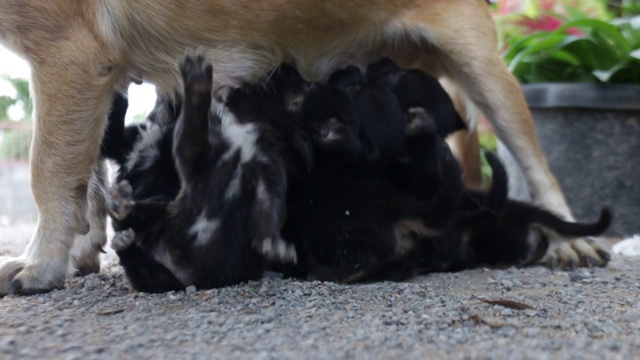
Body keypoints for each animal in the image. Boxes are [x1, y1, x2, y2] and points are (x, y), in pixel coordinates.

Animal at [105, 54, 304, 294]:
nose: (286, 63)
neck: (241, 133)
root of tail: (191, 278)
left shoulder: (267, 172)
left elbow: (269, 211)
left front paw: (273, 244)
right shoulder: (195, 154)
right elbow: (191, 125)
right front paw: (197, 84)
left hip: (161, 267)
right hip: (159, 211)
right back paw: (123, 210)